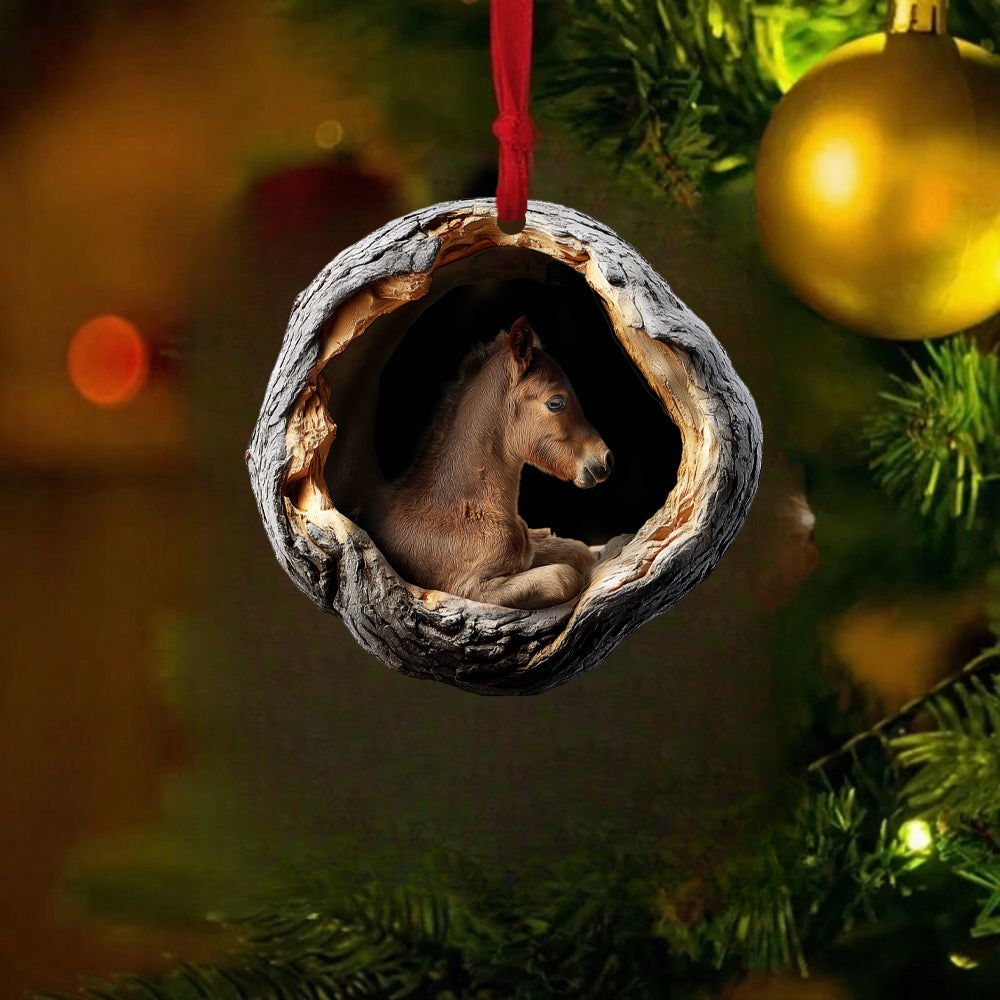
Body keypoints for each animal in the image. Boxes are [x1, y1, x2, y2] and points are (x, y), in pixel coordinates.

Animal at [363, 316, 614, 609]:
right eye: (556, 402)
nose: (605, 459)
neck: (464, 508)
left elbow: (578, 550)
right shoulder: (470, 588)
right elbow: (565, 576)